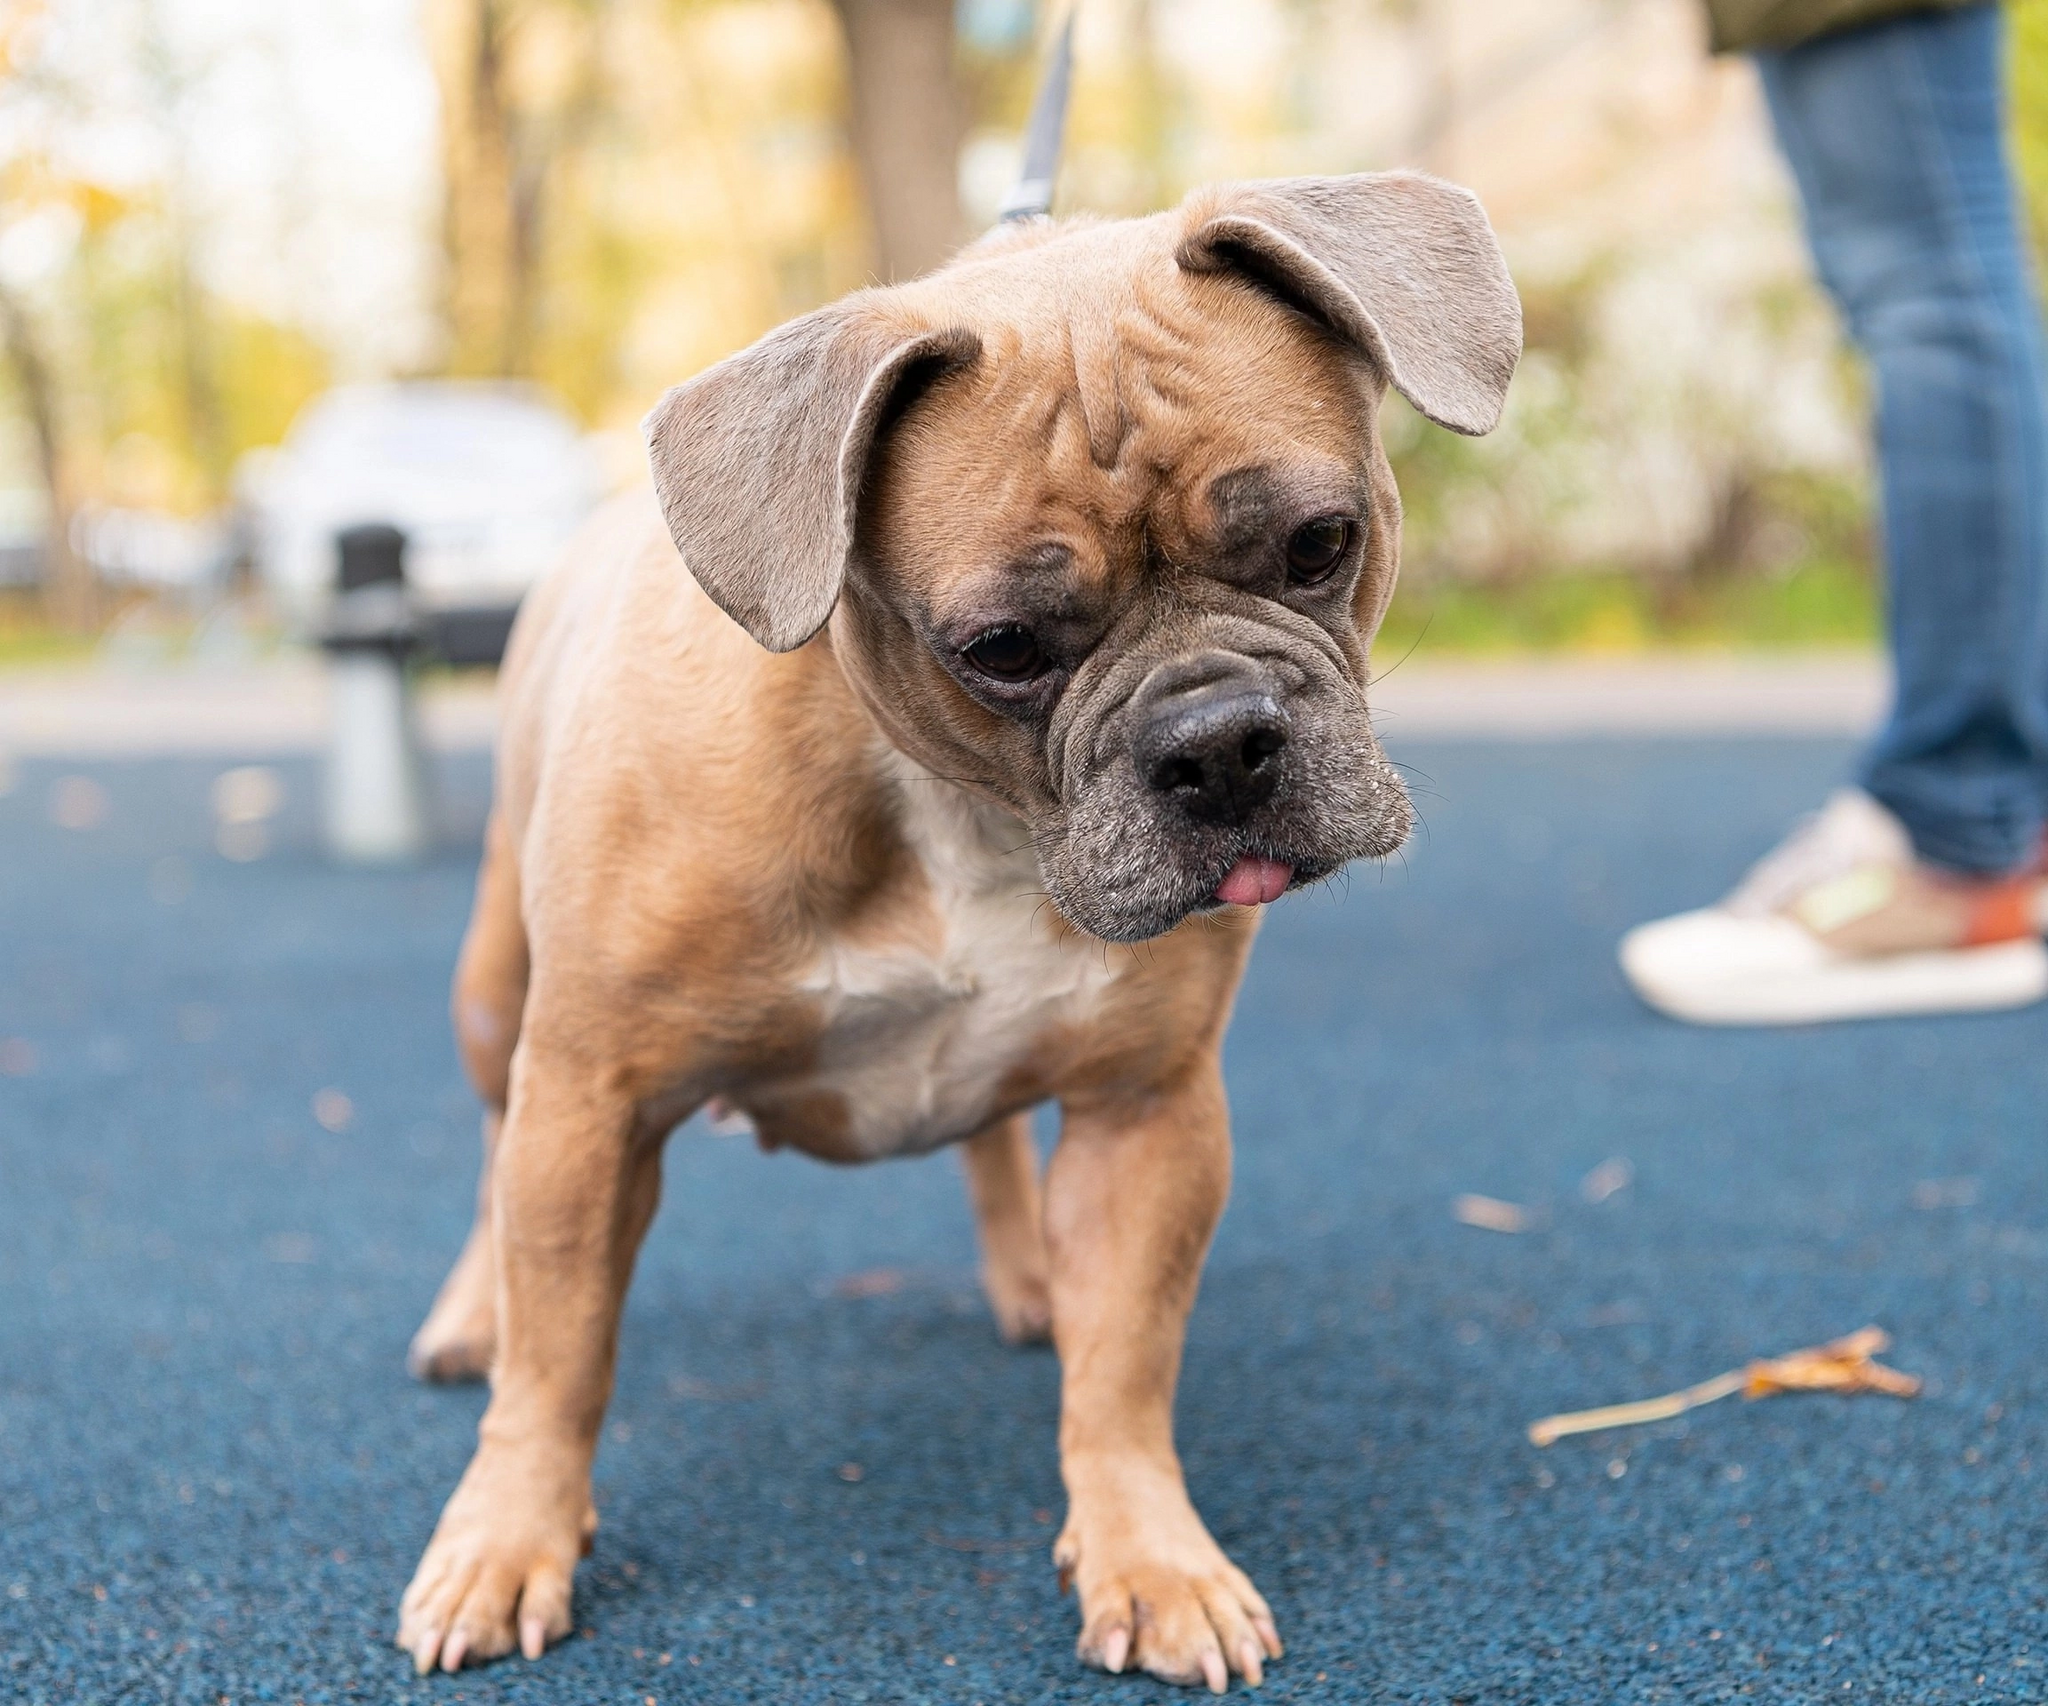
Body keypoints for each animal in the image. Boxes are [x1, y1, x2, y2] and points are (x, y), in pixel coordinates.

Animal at [399, 165, 1523, 1687]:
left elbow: (1125, 1368)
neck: (973, 811)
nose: (1217, 740)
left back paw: (1031, 1272)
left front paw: (1149, 1555)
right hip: (494, 1001)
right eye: (1001, 646)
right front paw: (507, 1533)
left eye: (1319, 543)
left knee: (991, 1135)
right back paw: (472, 1313)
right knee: (488, 1163)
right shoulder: (590, 1100)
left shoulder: (1147, 1113)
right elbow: (560, 1353)